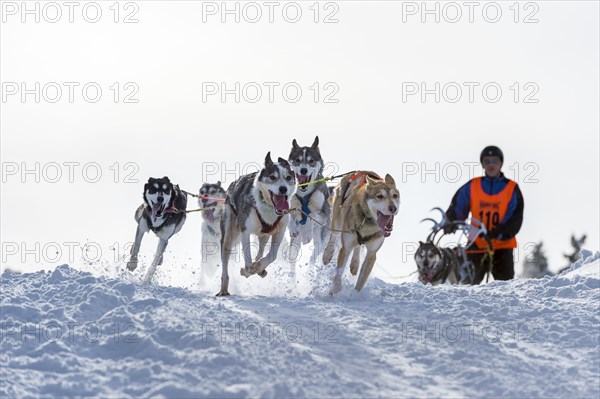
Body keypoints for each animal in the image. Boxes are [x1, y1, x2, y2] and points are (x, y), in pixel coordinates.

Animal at [218, 153, 298, 296]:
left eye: (288, 177)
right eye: (272, 177)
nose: (283, 189)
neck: (269, 207)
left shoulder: (279, 231)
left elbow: (272, 255)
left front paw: (259, 267)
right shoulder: (245, 230)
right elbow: (248, 260)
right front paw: (247, 270)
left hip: (264, 235)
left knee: (260, 250)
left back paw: (260, 268)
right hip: (228, 234)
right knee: (225, 263)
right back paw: (224, 289)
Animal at [288, 137, 330, 268]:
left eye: (311, 161)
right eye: (297, 160)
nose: (303, 170)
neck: (304, 195)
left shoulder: (323, 215)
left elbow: (311, 214)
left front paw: (307, 234)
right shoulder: (292, 206)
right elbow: (291, 216)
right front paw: (293, 227)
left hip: (320, 240)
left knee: (313, 257)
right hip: (295, 244)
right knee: (292, 258)